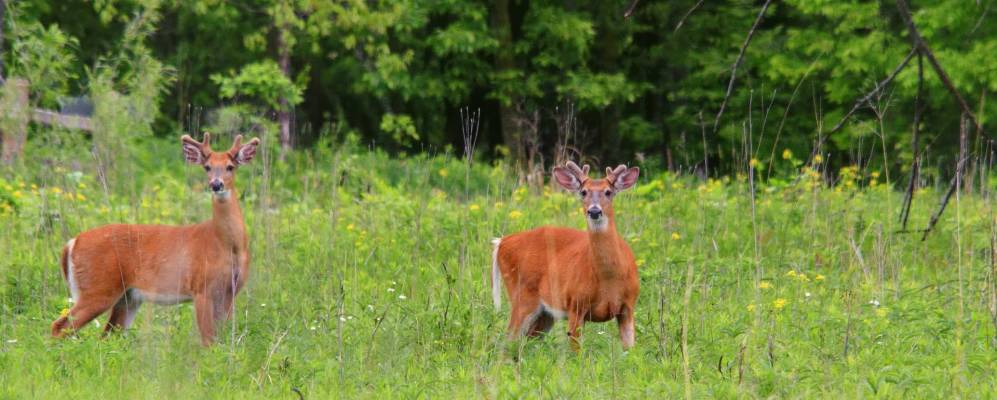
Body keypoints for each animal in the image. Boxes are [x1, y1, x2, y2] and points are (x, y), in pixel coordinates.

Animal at [50, 133, 258, 346]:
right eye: (207, 166)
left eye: (230, 166)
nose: (216, 184)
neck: (225, 244)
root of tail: (72, 243)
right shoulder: (201, 287)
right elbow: (208, 340)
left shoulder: (231, 291)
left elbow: (221, 337)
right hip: (97, 287)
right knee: (60, 326)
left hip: (128, 297)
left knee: (108, 335)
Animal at [490, 162, 640, 350]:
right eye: (583, 192)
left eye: (608, 192)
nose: (594, 211)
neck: (609, 279)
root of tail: (502, 241)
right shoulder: (575, 304)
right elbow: (576, 351)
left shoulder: (628, 306)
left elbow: (630, 350)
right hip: (521, 295)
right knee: (508, 340)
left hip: (545, 313)